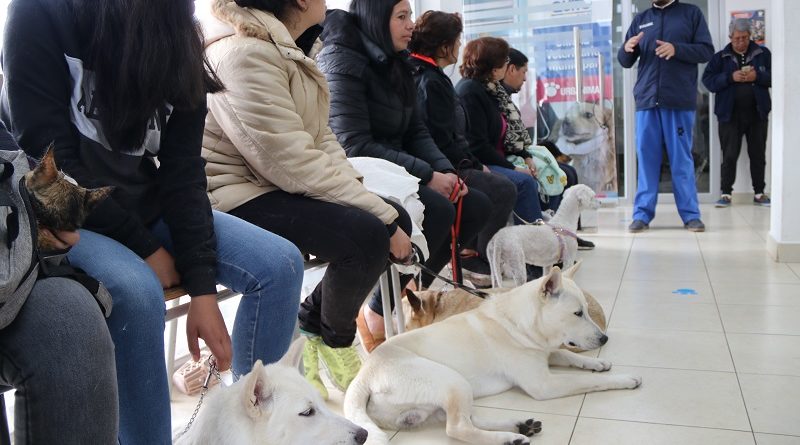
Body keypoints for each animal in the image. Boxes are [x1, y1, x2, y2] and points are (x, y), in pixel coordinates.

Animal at [340, 266, 640, 442]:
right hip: (452, 380)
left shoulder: (546, 353)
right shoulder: (544, 384)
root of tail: (363, 376)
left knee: (463, 420)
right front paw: (624, 379)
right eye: (577, 313)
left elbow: (570, 356)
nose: (604, 338)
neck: (519, 322)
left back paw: (519, 427)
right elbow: (587, 381)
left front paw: (598, 362)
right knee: (457, 428)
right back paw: (508, 438)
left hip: (441, 399)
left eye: (586, 311)